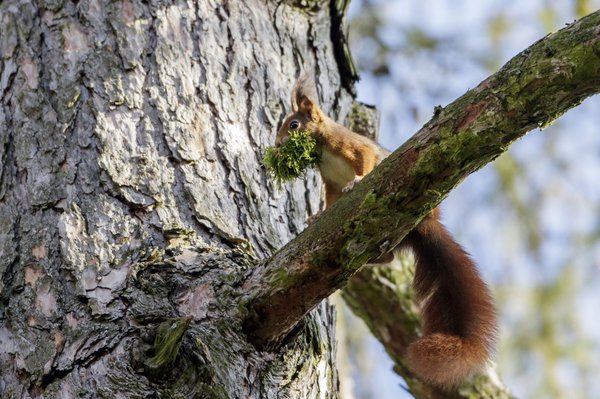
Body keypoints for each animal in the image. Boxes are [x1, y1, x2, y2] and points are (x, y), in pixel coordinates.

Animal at [276, 73, 496, 390]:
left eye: (293, 125)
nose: (277, 145)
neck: (322, 150)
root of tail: (425, 225)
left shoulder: (352, 146)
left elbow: (365, 160)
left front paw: (357, 181)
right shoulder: (330, 183)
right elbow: (330, 203)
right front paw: (317, 216)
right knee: (388, 256)